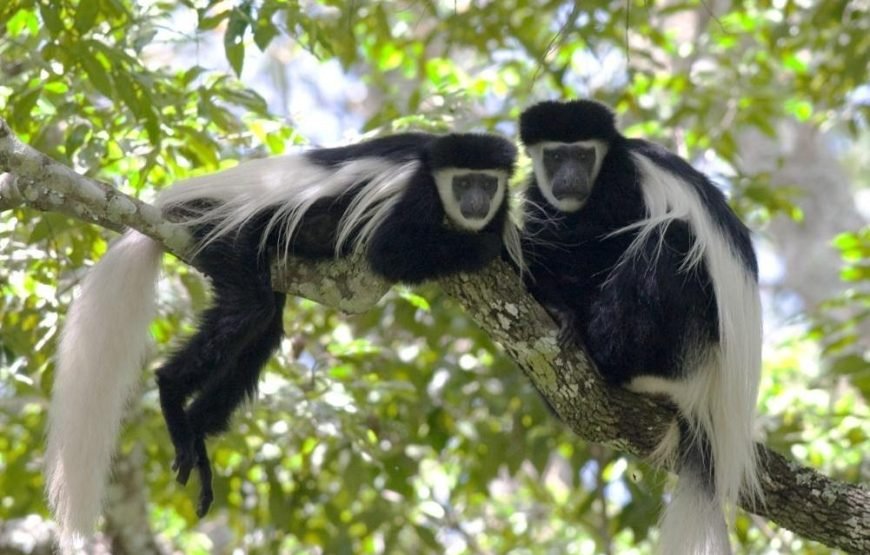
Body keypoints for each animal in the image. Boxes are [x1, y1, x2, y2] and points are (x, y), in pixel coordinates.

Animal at [45, 131, 522, 550]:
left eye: (487, 183)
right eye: (464, 182)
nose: (476, 203)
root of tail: (174, 202)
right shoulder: (412, 198)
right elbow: (389, 254)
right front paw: (477, 248)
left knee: (264, 328)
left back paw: (196, 436)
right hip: (226, 233)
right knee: (249, 310)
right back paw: (171, 393)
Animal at [518, 99, 762, 554]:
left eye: (583, 155)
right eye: (555, 156)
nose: (569, 178)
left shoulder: (622, 186)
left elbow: (607, 244)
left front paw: (567, 312)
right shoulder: (539, 196)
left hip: (688, 348)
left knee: (669, 238)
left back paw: (602, 352)